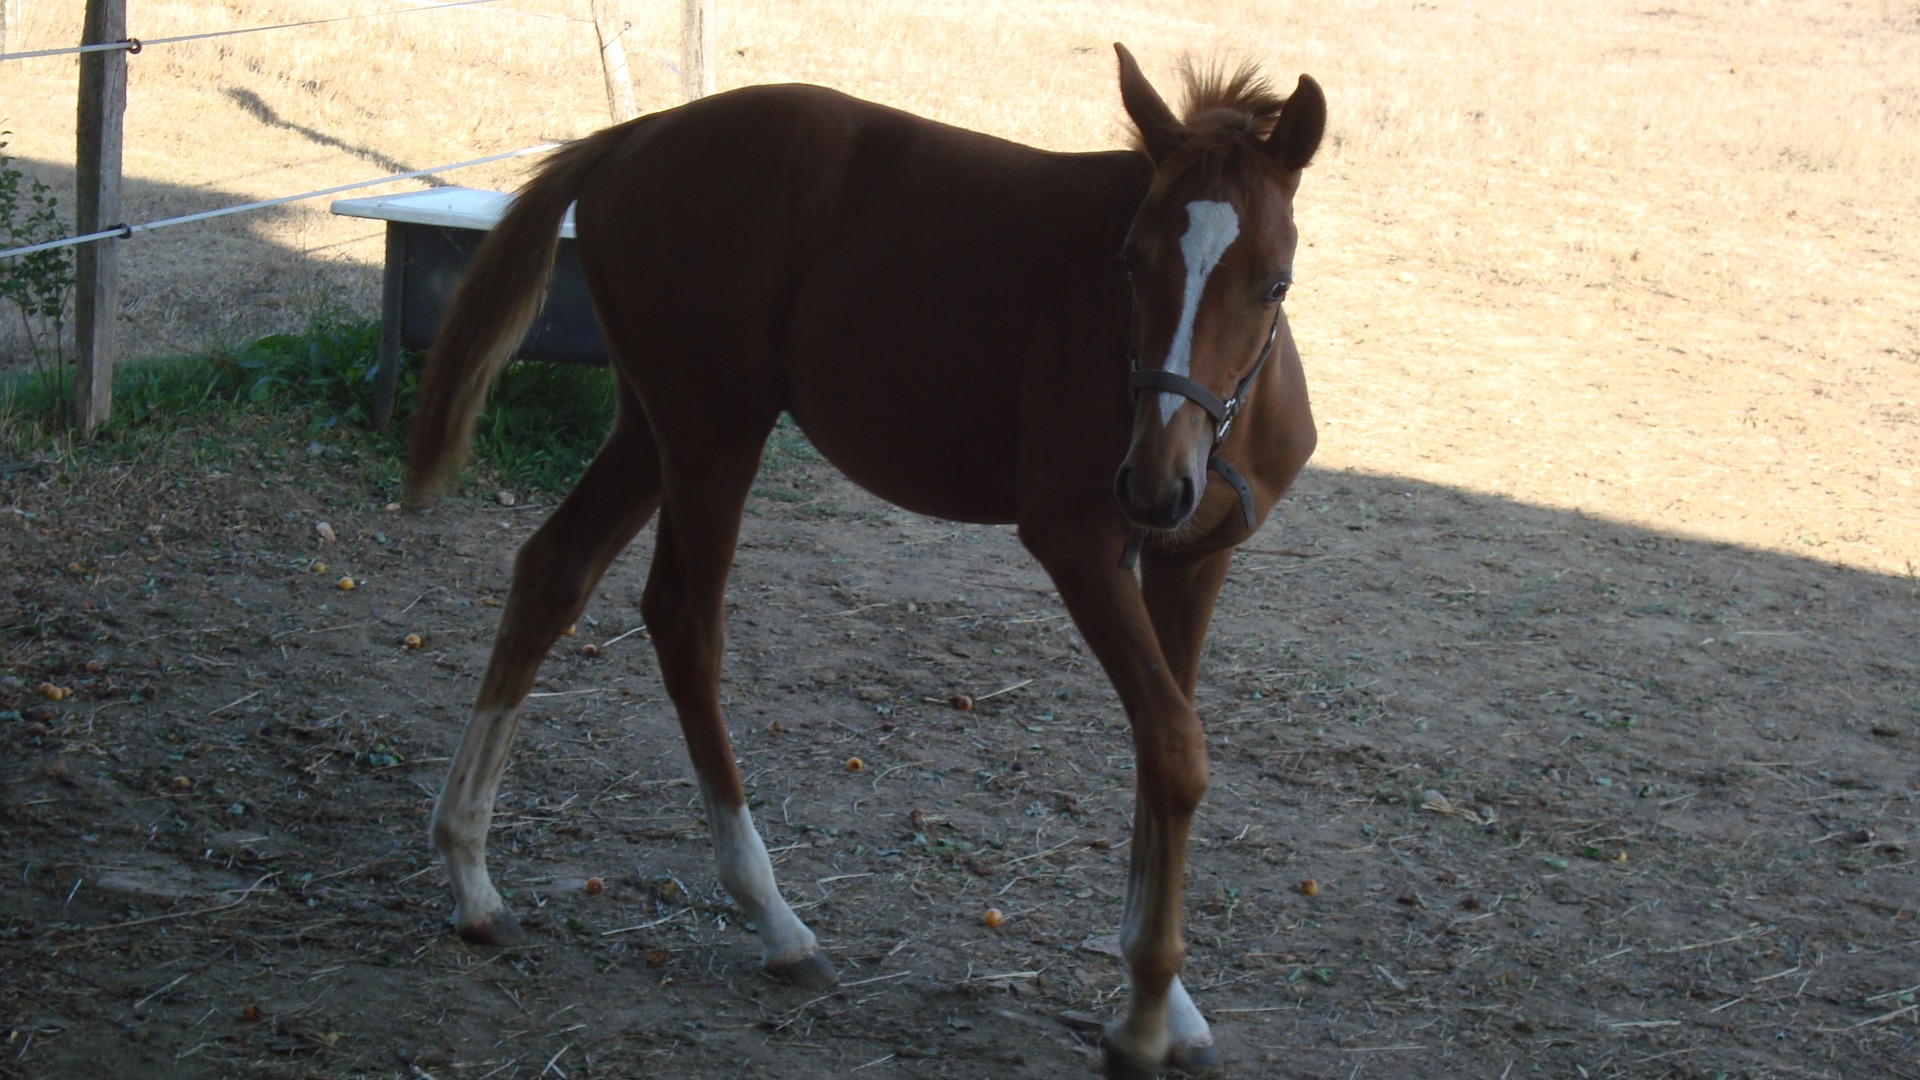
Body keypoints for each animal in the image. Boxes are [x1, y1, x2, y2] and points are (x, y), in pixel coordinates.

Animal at [404, 43, 1324, 1078]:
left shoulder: (1191, 559)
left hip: (651, 427)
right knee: (682, 620)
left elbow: (1161, 750)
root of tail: (634, 136)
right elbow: (1173, 745)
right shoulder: (1078, 543)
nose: (1156, 485)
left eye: (1276, 282)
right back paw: (776, 922)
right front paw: (1142, 1018)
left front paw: (1174, 1008)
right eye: (1130, 262)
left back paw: (473, 879)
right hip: (715, 429)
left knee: (551, 572)